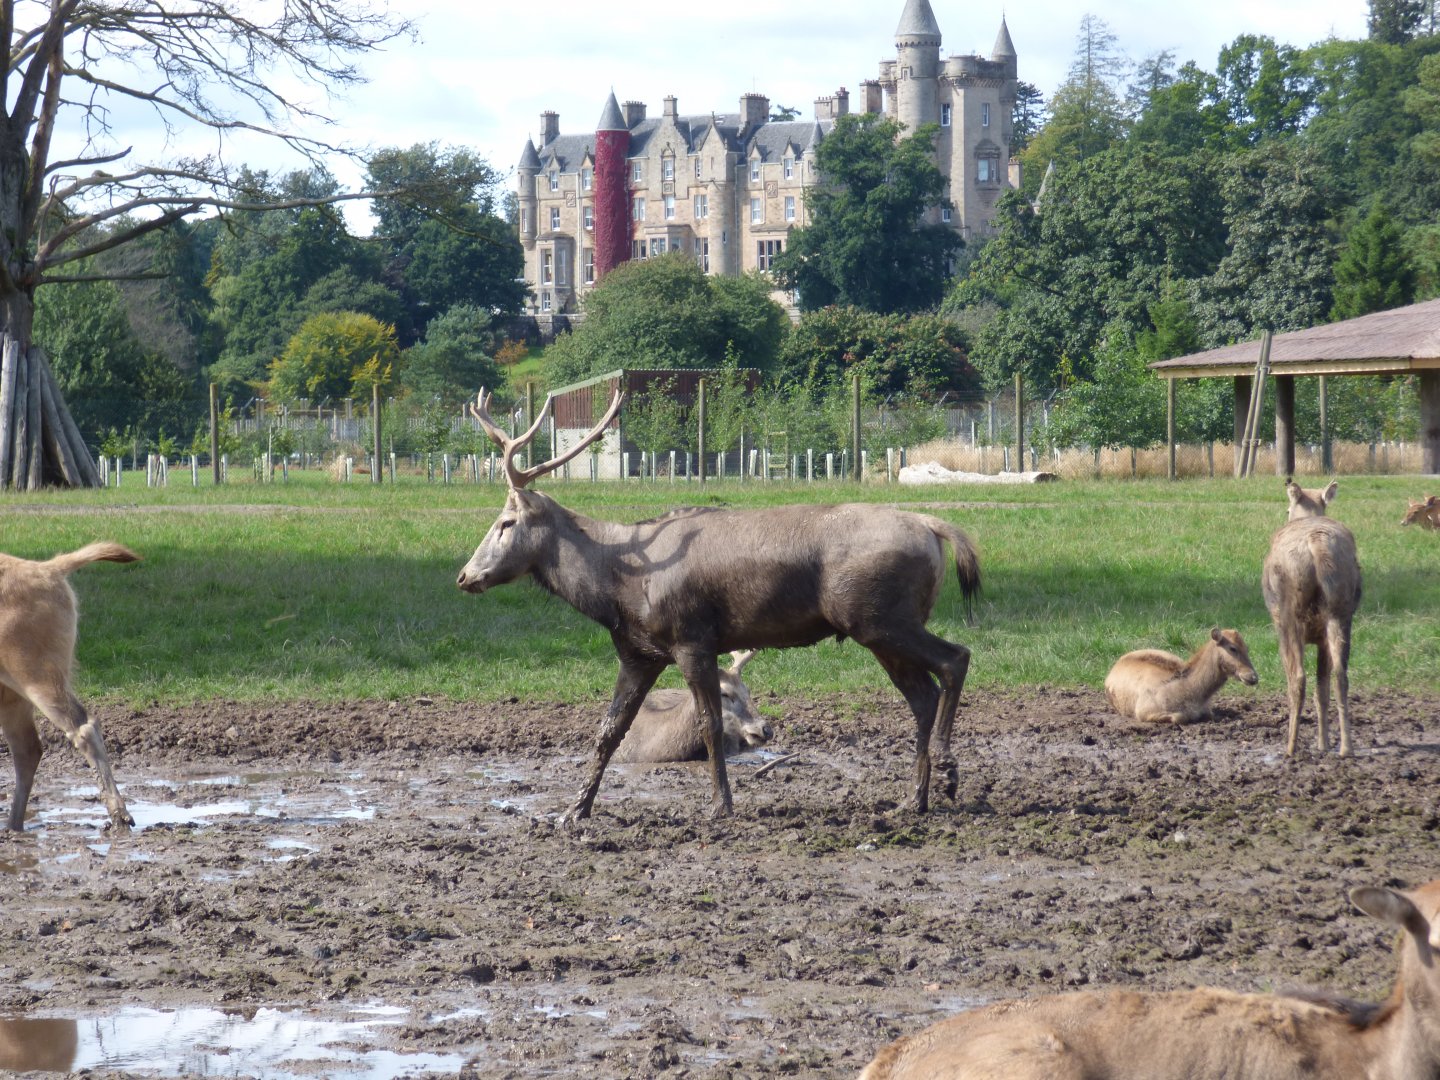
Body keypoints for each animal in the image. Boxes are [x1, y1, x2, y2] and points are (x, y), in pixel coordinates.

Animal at [1, 542, 137, 833]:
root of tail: (48, 568)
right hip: (11, 695)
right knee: (27, 748)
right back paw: (12, 826)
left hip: (37, 679)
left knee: (82, 728)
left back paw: (120, 817)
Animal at [1104, 628, 1258, 725]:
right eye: (1233, 648)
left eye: (1247, 648)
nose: (1253, 677)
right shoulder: (1143, 710)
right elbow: (1180, 717)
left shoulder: (1207, 708)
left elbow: (1210, 714)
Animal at [1262, 478, 1362, 757]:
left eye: (1287, 509)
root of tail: (1317, 545)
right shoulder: (1321, 639)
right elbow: (1322, 689)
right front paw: (1323, 743)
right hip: (1340, 612)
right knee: (1340, 676)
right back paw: (1346, 747)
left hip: (1288, 617)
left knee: (1297, 678)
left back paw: (1290, 747)